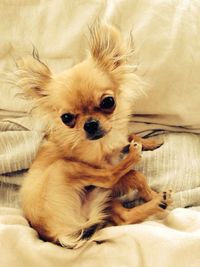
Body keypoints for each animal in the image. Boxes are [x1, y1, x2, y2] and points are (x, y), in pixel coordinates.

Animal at [18, 23, 170, 249]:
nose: (90, 124)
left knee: (124, 217)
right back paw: (152, 189)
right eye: (66, 118)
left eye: (108, 102)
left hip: (101, 201)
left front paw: (150, 141)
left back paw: (158, 201)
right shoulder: (102, 168)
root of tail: (58, 235)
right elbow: (133, 175)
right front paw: (148, 188)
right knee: (109, 178)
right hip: (67, 169)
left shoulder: (117, 137)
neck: (104, 141)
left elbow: (130, 135)